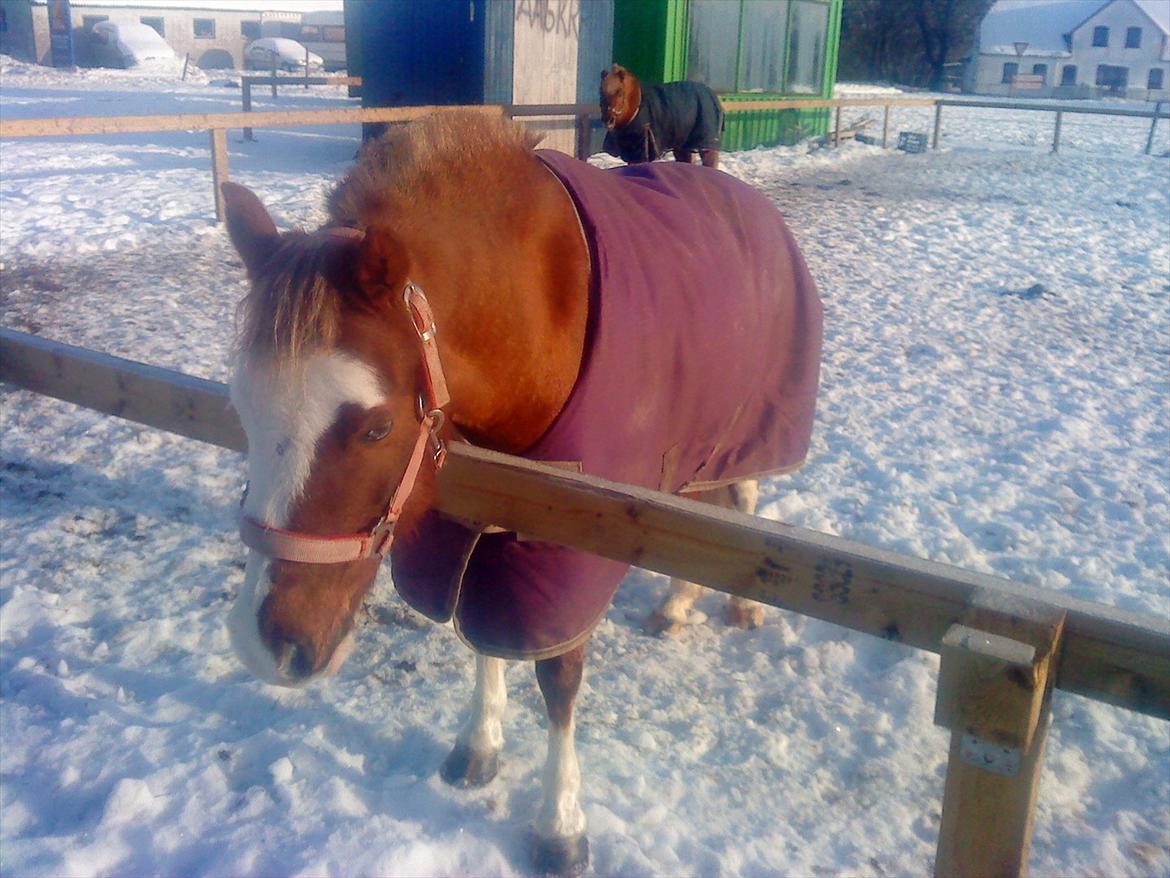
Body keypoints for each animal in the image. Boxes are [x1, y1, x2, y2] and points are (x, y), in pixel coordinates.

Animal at [221, 111, 823, 878]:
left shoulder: (567, 546)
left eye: (376, 426)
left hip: (744, 428)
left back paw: (740, 604)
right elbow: (483, 638)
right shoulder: (478, 523)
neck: (535, 315)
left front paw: (560, 824)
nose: (265, 645)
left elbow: (558, 678)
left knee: (739, 500)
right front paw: (479, 746)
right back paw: (677, 606)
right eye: (241, 408)